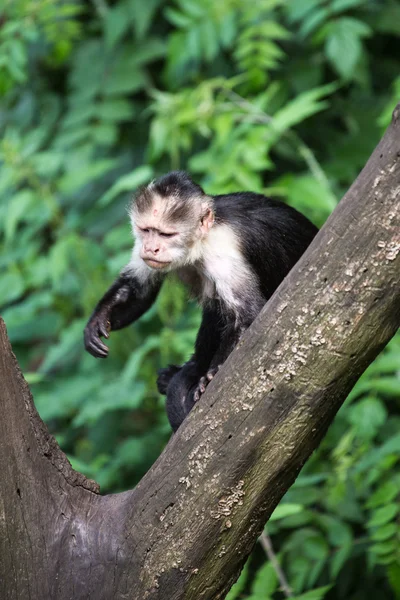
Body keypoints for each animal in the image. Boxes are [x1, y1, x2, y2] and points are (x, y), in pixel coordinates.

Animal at [84, 170, 318, 432]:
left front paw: (209, 376)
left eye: (166, 234)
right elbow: (138, 289)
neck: (200, 242)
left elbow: (246, 317)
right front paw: (98, 319)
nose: (152, 248)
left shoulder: (222, 253)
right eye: (146, 230)